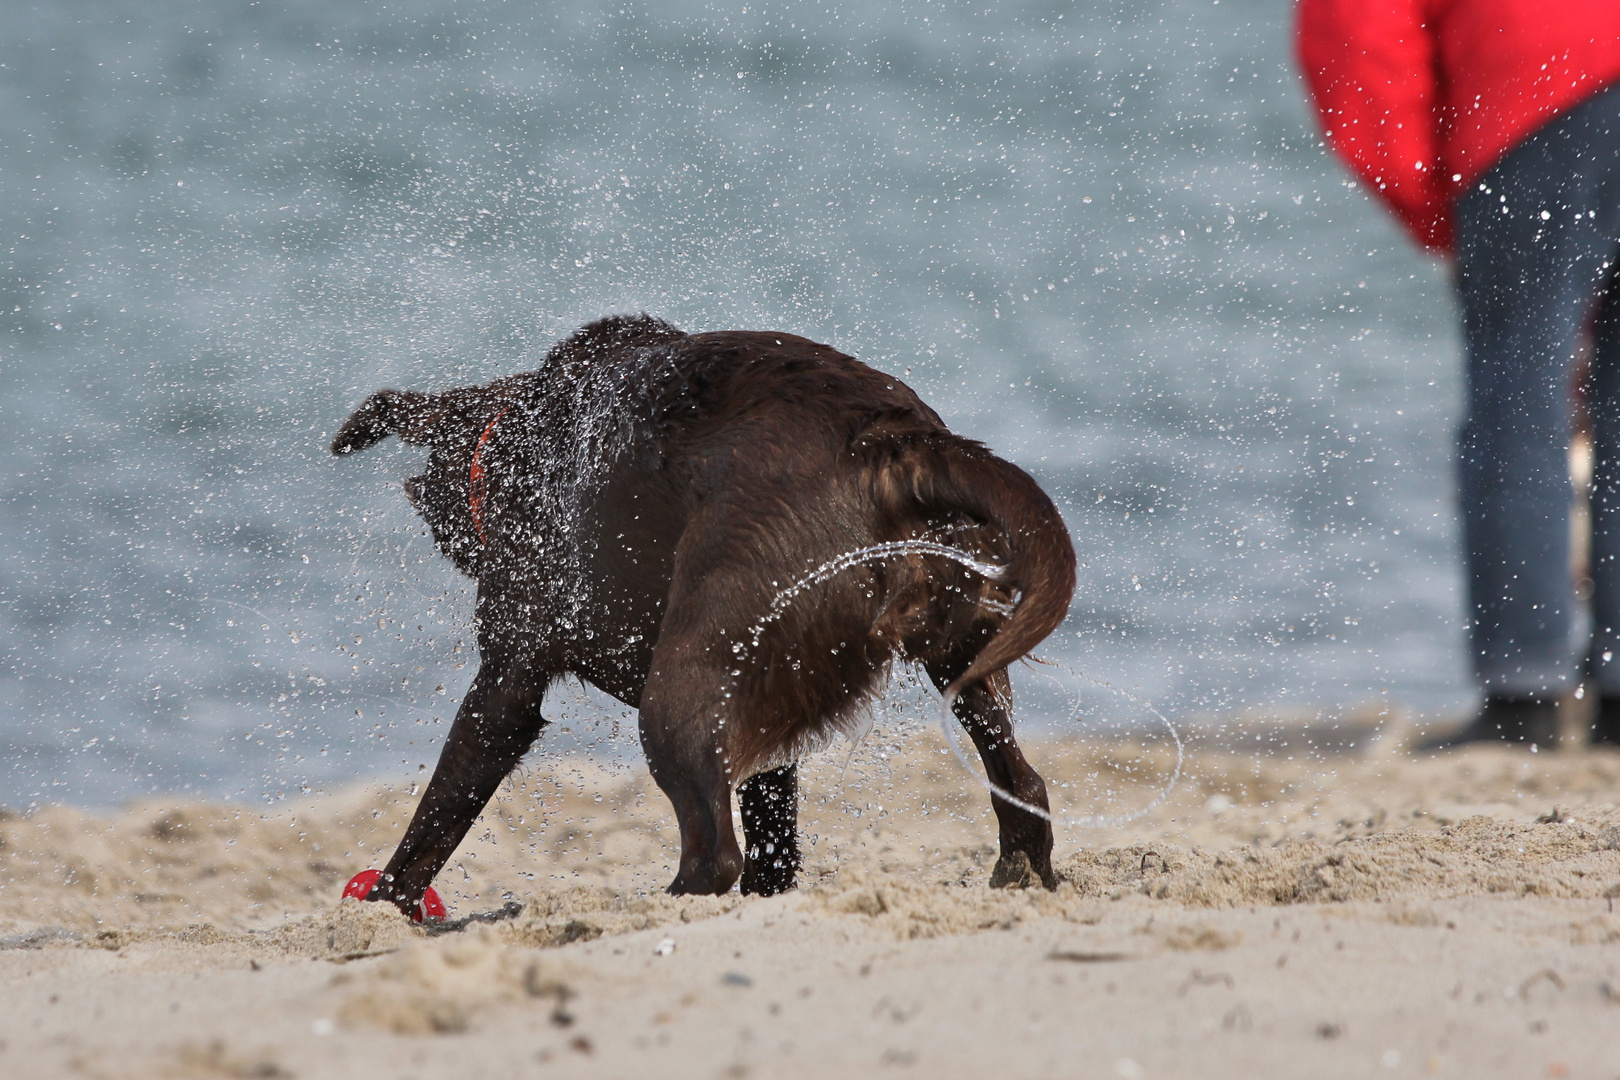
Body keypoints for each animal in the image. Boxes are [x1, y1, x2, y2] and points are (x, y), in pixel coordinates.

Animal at [332, 317, 1075, 906]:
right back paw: (1018, 870)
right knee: (1024, 787)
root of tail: (894, 444)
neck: (518, 436)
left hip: (685, 681)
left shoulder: (511, 672)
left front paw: (384, 905)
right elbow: (774, 825)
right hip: (958, 645)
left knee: (713, 850)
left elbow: (438, 812)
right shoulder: (768, 706)